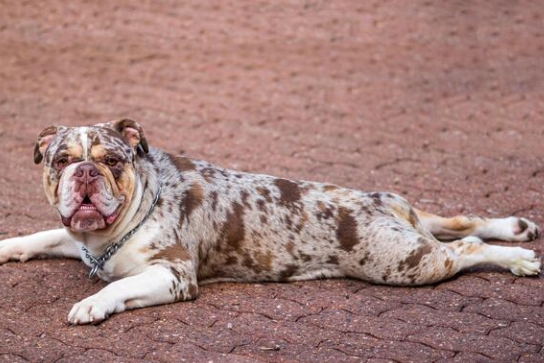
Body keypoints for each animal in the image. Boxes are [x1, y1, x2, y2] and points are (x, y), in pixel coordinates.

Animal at [0, 121, 540, 326]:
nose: (86, 172)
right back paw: (515, 230)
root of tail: (382, 205)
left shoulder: (172, 275)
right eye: (61, 159)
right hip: (412, 232)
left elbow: (116, 287)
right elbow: (43, 234)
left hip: (406, 262)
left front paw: (92, 304)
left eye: (112, 161)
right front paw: (8, 245)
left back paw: (518, 258)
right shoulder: (78, 238)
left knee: (466, 248)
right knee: (458, 221)